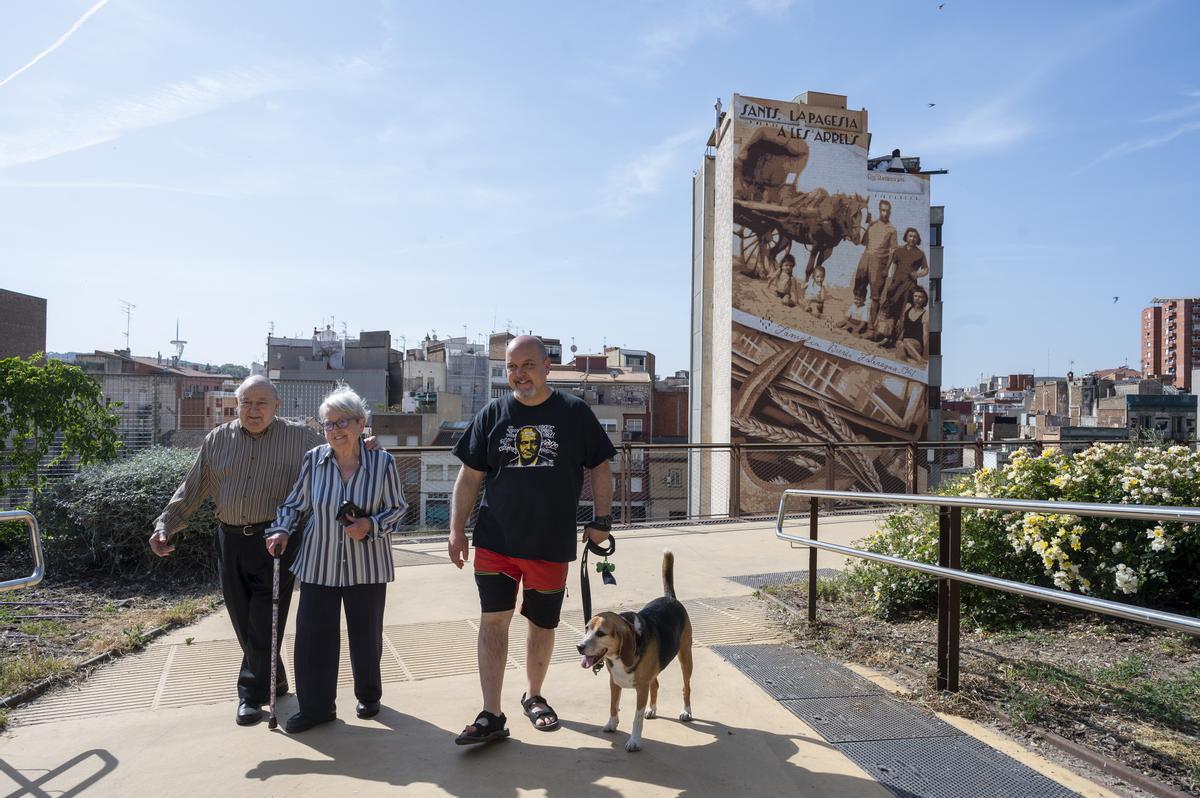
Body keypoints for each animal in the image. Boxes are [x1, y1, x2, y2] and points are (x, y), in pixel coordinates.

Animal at [578, 552, 696, 748]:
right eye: (587, 628)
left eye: (601, 633)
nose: (579, 647)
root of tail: (670, 597)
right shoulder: (614, 682)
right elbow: (613, 706)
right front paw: (612, 724)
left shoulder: (641, 688)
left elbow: (636, 718)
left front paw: (634, 741)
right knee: (655, 685)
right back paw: (652, 709)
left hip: (685, 657)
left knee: (686, 687)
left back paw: (686, 711)